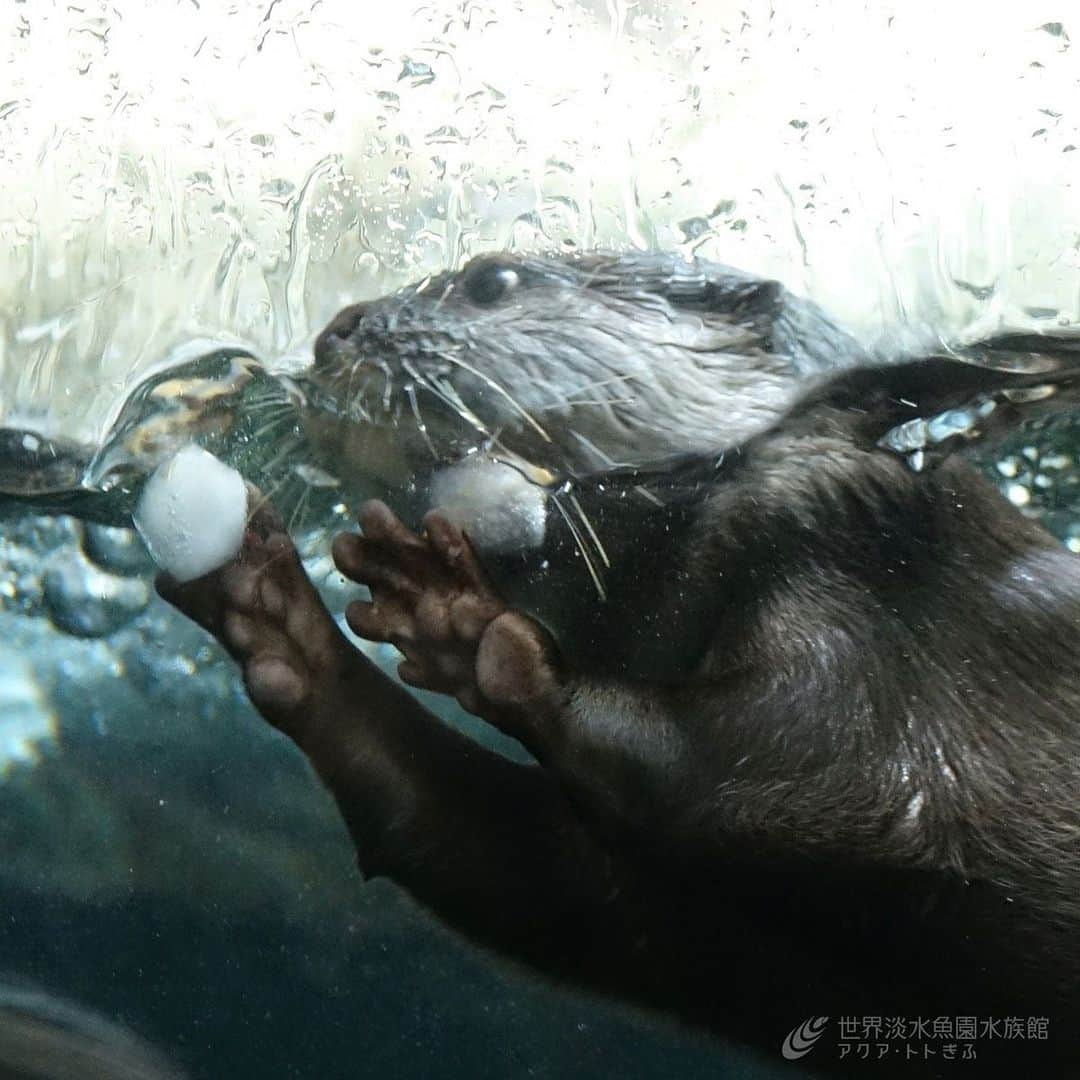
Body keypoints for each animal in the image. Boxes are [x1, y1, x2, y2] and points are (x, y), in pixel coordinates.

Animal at [154, 257, 1080, 1075]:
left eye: (491, 280)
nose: (333, 332)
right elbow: (532, 872)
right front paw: (275, 611)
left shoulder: (849, 556)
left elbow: (804, 769)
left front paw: (459, 620)